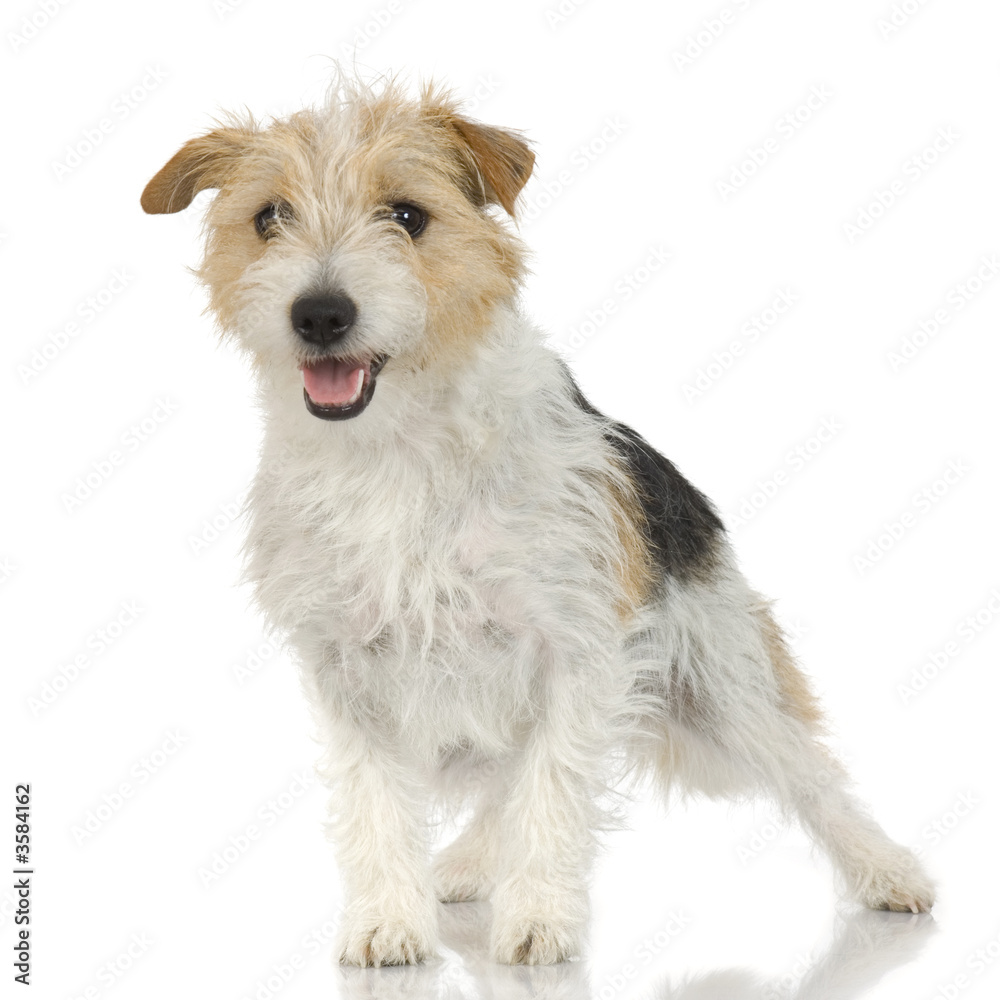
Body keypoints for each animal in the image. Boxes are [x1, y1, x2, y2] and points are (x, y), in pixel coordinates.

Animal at [143, 74, 936, 964]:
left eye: (408, 215)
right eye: (268, 216)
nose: (319, 313)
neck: (396, 452)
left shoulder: (574, 649)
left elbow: (553, 788)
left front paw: (537, 921)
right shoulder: (347, 671)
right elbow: (379, 802)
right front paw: (389, 922)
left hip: (724, 691)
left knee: (810, 774)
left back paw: (889, 872)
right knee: (502, 791)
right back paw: (461, 867)